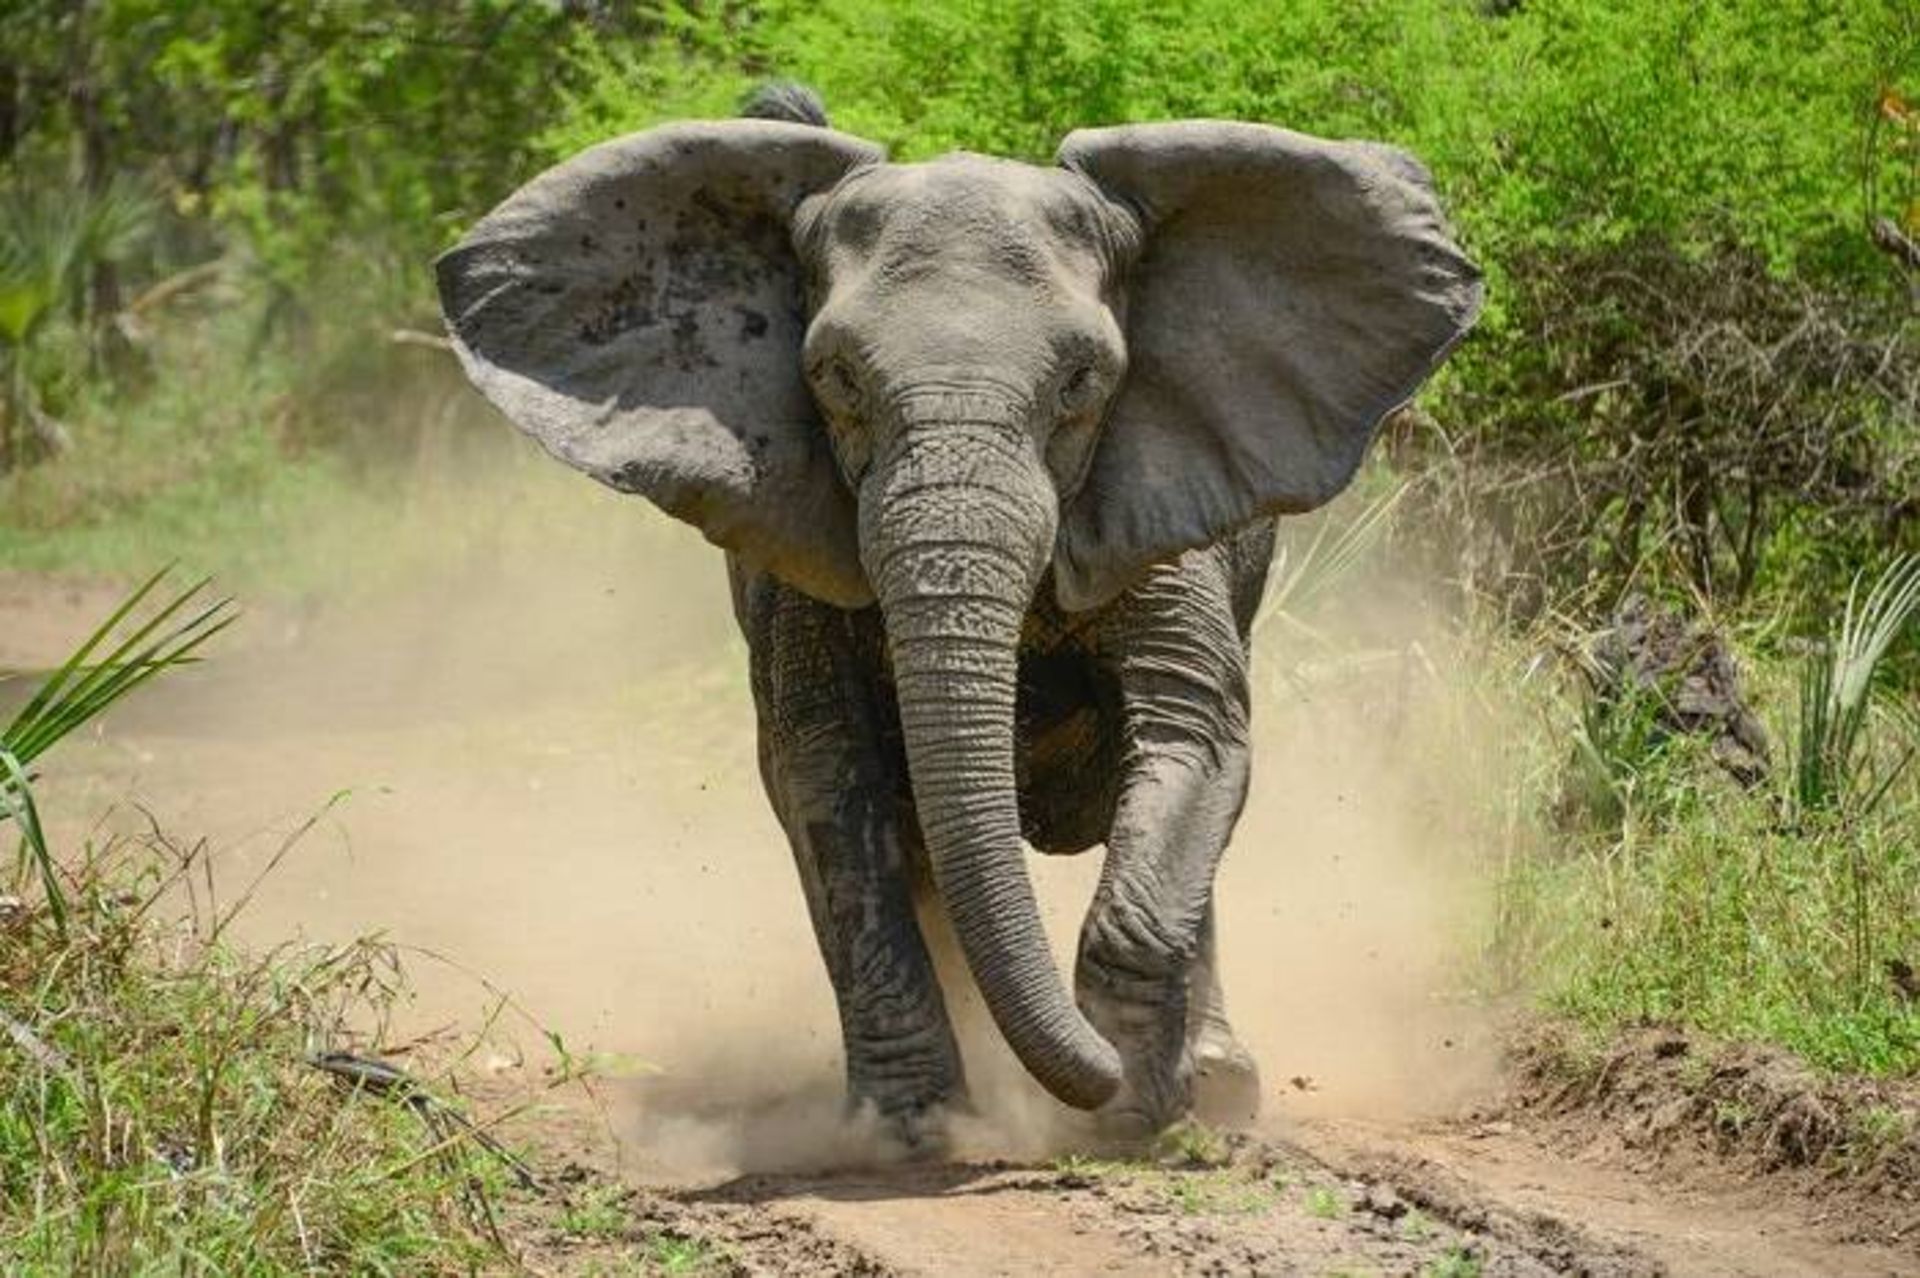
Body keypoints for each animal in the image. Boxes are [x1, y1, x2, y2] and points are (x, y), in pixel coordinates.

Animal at [436, 86, 1480, 1148]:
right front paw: (910, 1128)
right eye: (837, 378)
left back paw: (1217, 1086)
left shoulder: (1160, 493)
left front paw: (1134, 1111)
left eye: (1082, 382)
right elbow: (826, 774)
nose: (1093, 1077)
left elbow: (1193, 730)